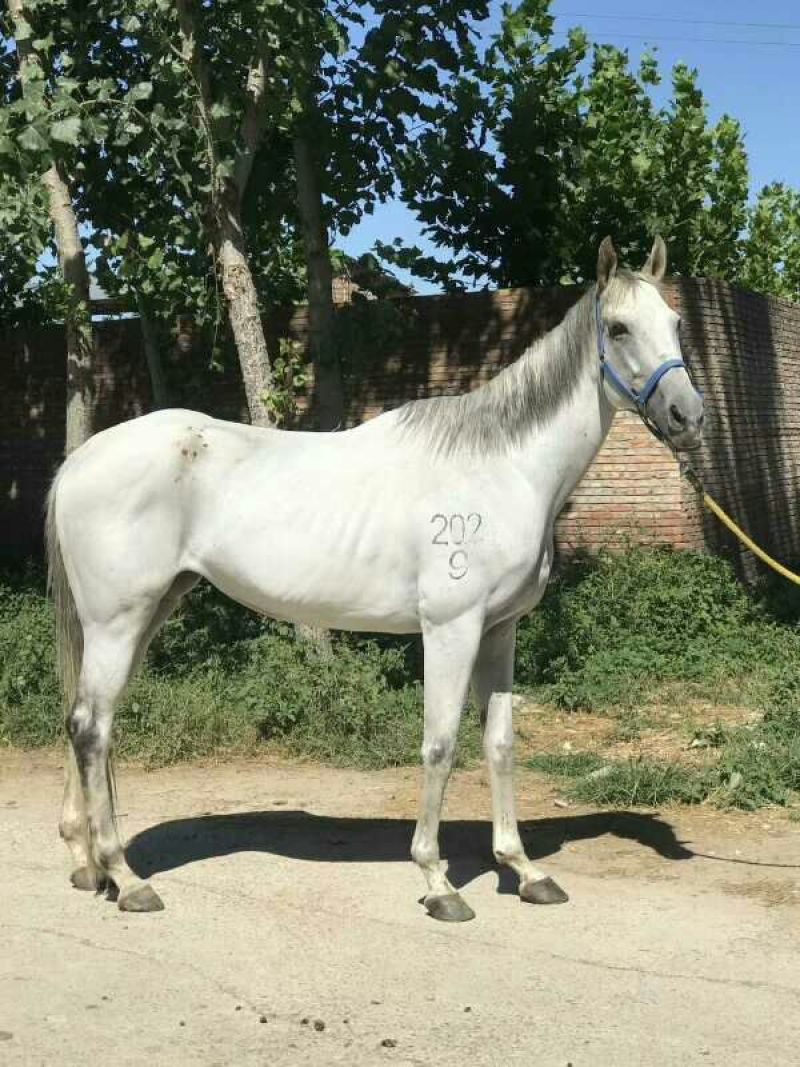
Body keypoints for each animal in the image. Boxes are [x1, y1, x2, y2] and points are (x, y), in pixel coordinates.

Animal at [46, 236, 703, 920]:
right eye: (619, 328)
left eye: (676, 323)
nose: (688, 416)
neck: (500, 467)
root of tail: (79, 461)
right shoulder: (450, 630)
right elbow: (440, 744)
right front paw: (438, 882)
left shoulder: (500, 631)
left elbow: (499, 744)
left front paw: (523, 870)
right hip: (118, 620)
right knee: (91, 726)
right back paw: (126, 878)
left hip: (144, 614)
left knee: (86, 718)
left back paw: (88, 864)